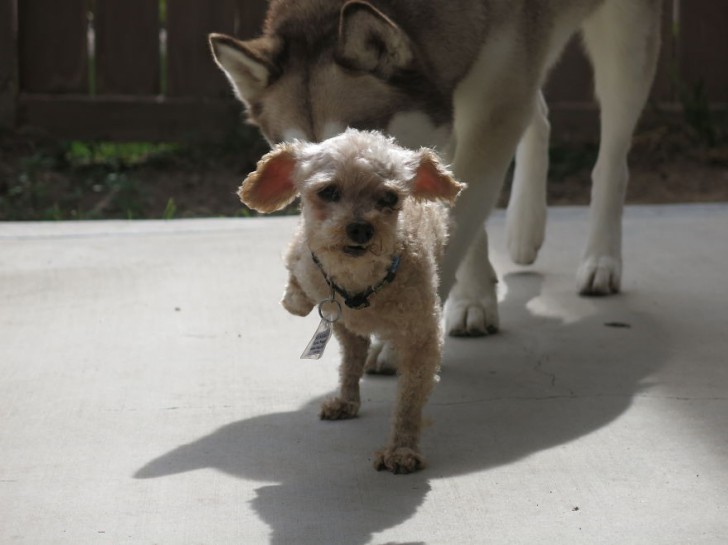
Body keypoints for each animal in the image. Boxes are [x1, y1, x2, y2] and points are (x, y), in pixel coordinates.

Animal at [208, 1, 664, 336]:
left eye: (359, 140)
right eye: (297, 154)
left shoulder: (491, 110)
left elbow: (458, 220)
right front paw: (476, 298)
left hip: (625, 38)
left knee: (612, 157)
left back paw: (602, 260)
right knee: (538, 109)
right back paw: (524, 229)